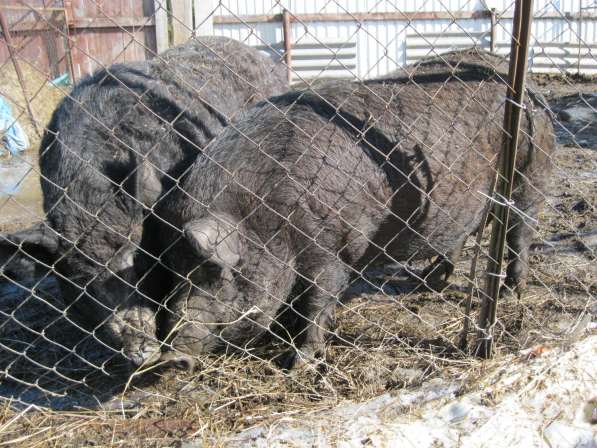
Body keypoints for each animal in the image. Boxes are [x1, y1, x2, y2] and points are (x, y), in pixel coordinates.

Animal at [155, 50, 556, 372]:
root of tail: (530, 89)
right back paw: (427, 282)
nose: (172, 356)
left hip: (531, 174)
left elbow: (317, 301)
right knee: (461, 234)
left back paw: (512, 291)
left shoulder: (332, 248)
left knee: (521, 230)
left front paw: (296, 363)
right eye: (174, 271)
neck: (265, 215)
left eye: (220, 273)